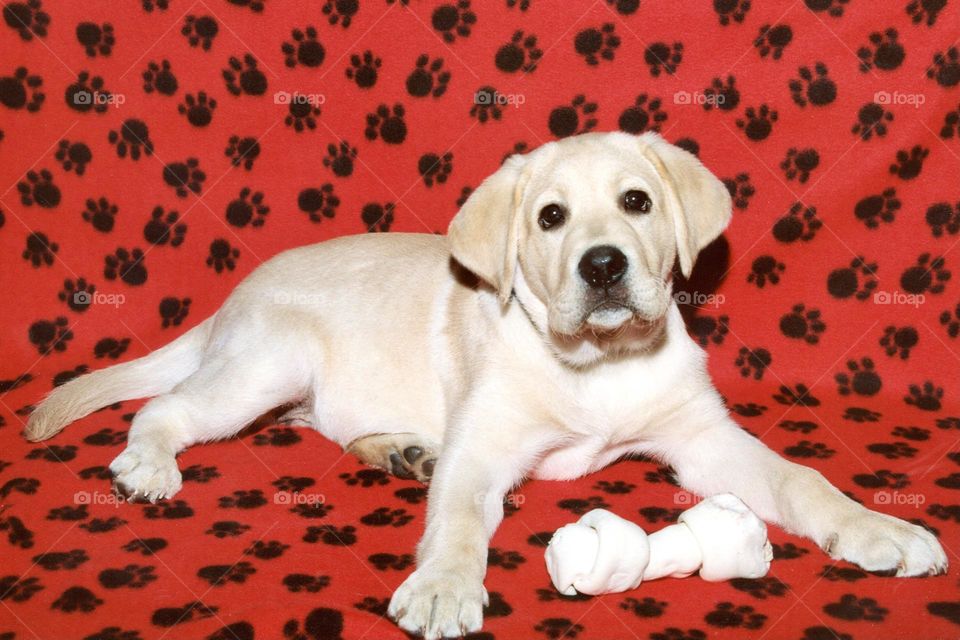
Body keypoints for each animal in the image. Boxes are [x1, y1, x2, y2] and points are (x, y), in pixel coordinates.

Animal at [28, 131, 944, 640]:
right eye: (550, 218)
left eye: (637, 203)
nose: (603, 266)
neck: (597, 366)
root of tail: (228, 303)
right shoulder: (483, 446)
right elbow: (463, 520)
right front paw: (442, 588)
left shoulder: (703, 438)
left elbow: (801, 478)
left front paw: (878, 529)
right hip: (263, 367)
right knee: (168, 406)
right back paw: (149, 465)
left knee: (320, 426)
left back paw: (401, 451)